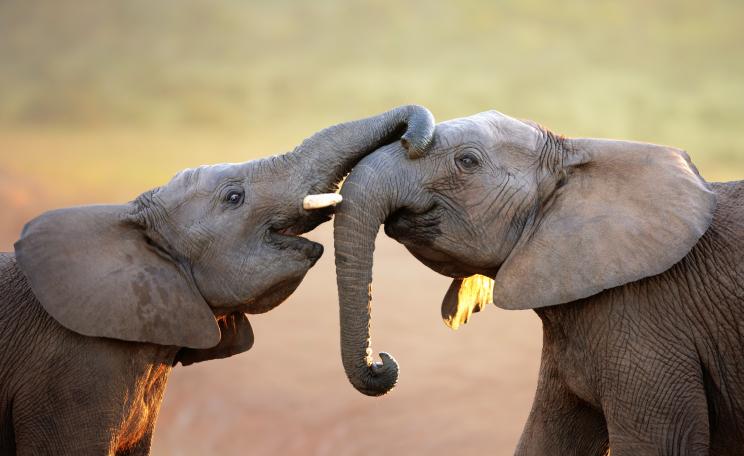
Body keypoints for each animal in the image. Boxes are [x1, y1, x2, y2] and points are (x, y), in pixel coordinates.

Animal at [332, 111, 744, 456]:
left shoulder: (648, 318)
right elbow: (546, 439)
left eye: (467, 161)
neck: (576, 156)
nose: (382, 362)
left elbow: (658, 444)